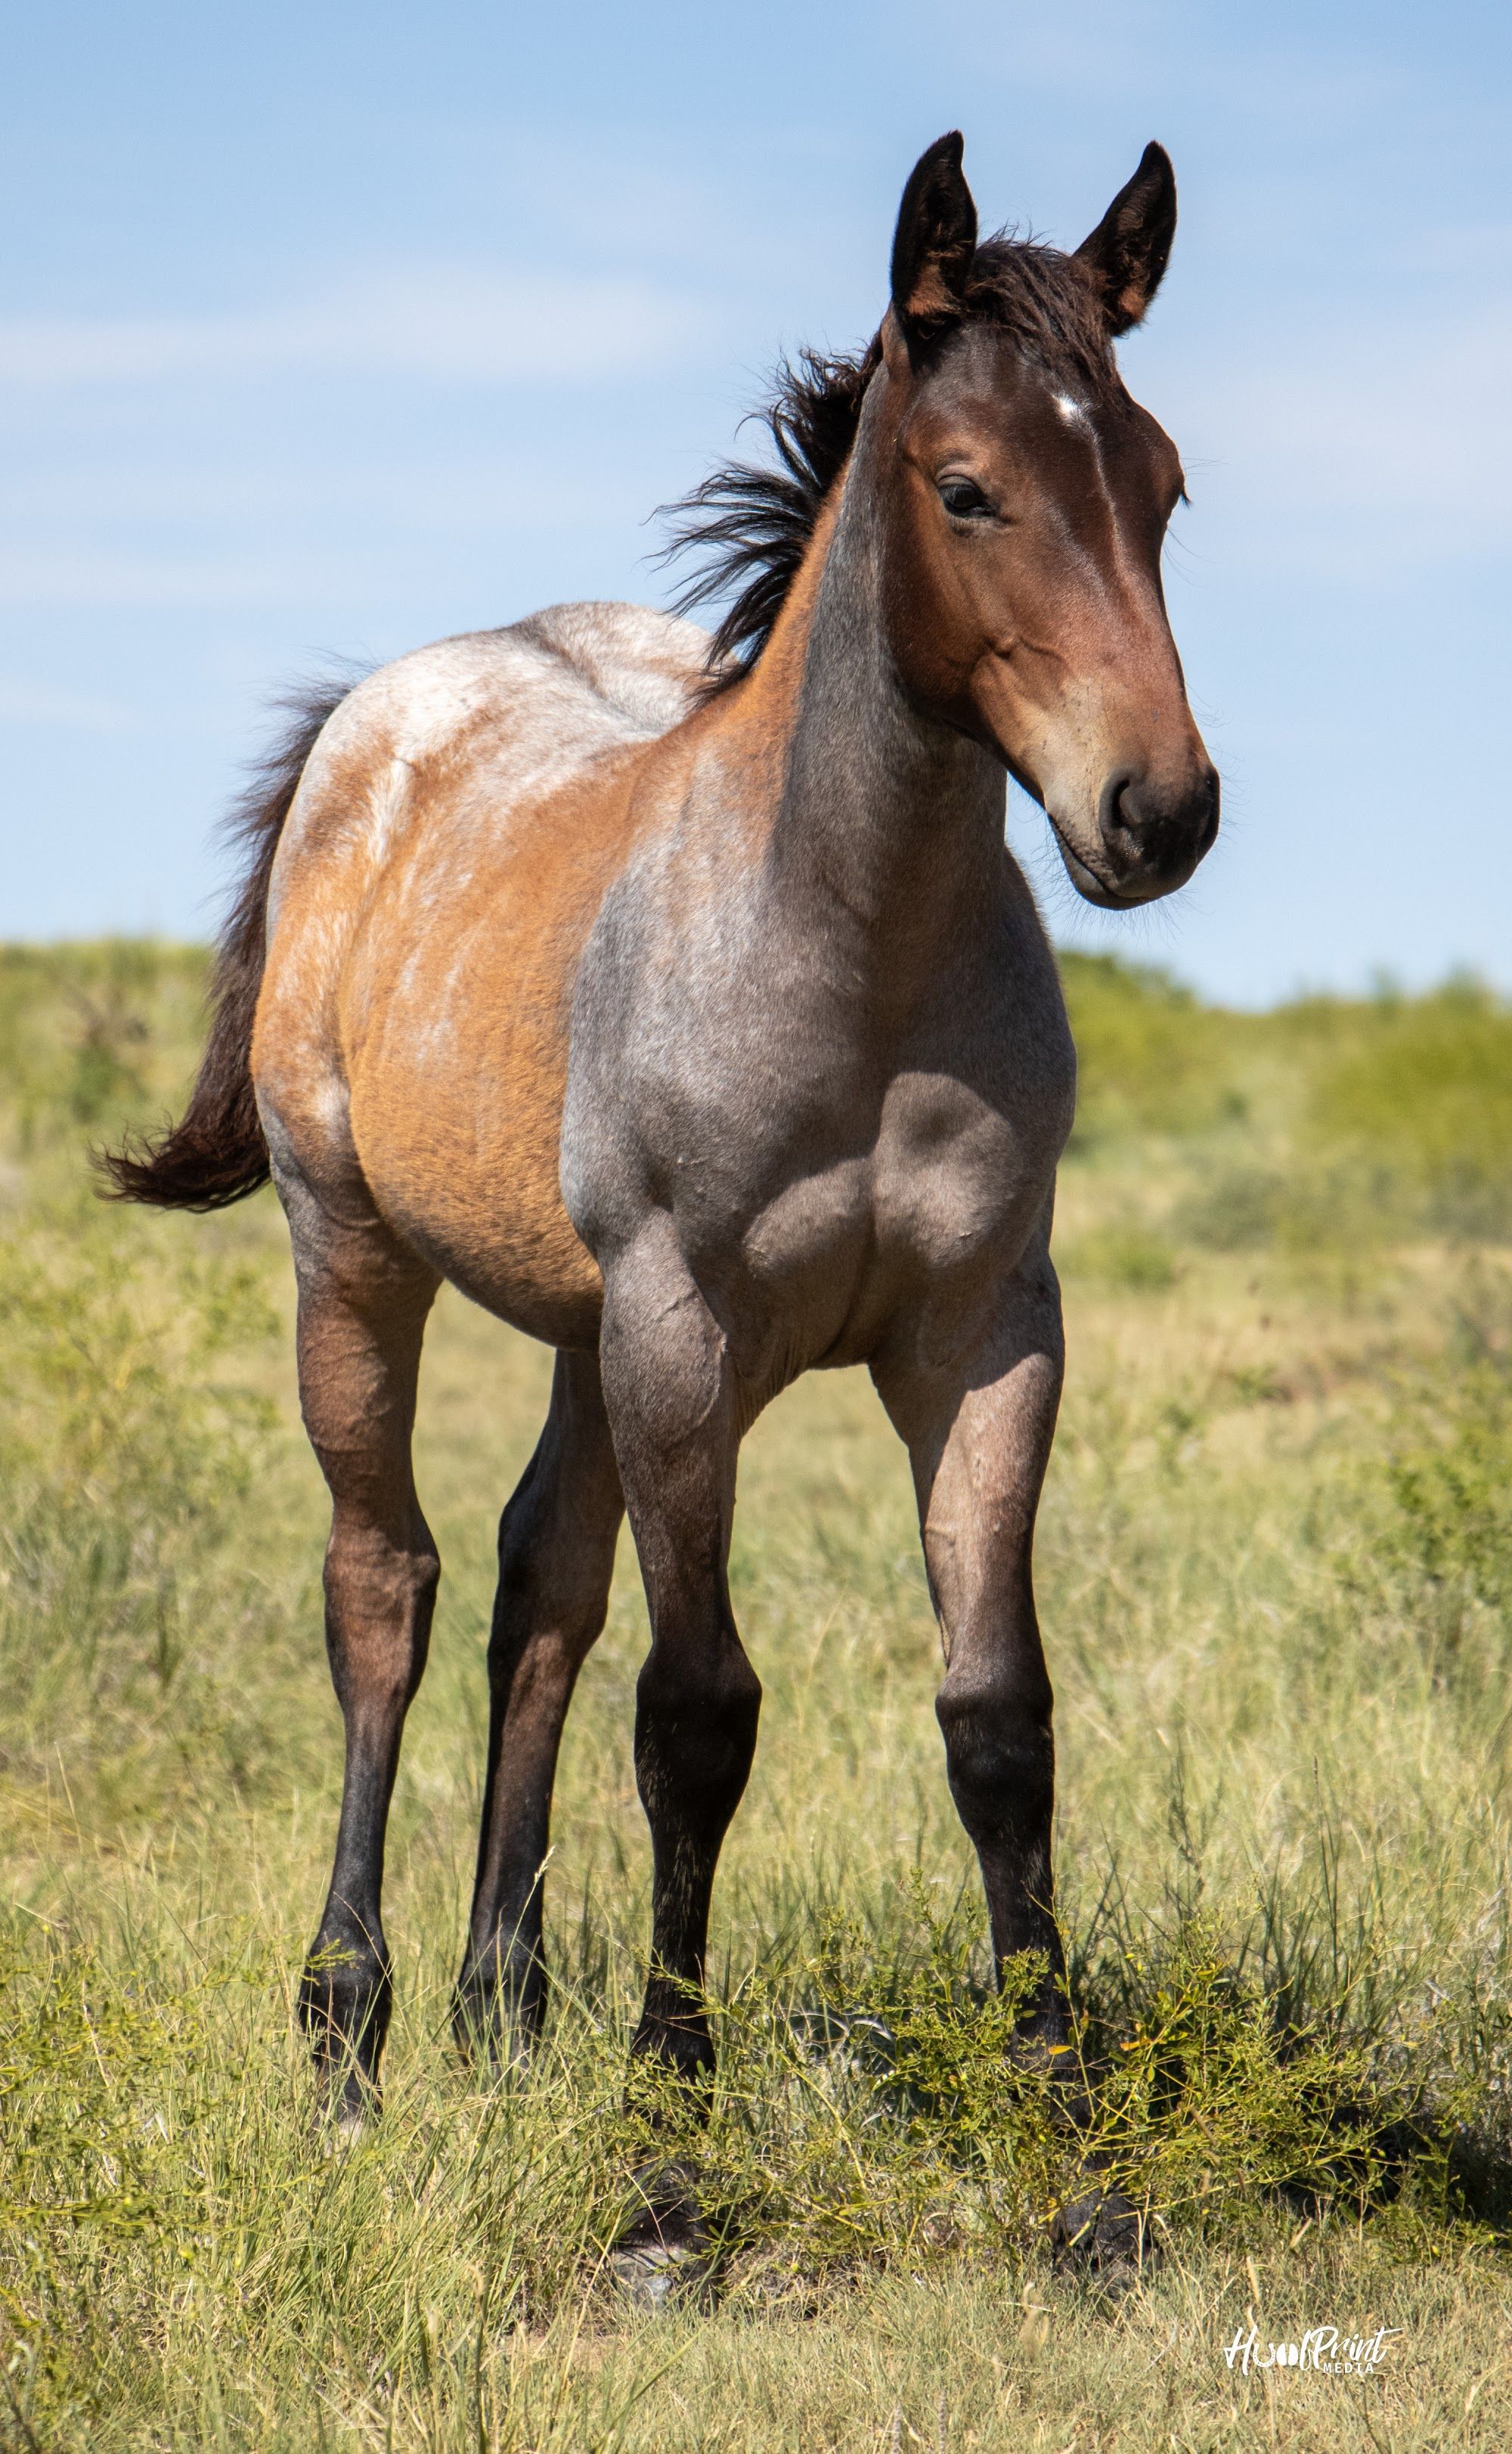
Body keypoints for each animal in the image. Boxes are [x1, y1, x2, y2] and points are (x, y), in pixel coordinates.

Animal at [109, 131, 1218, 2274]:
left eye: (1161, 481)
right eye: (967, 487)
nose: (1158, 810)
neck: (847, 958)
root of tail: (371, 717)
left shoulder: (984, 1334)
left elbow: (997, 1715)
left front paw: (1078, 2164)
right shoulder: (688, 1325)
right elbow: (698, 1711)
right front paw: (668, 2158)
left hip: (575, 1330)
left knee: (535, 1582)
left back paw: (500, 2010)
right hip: (356, 1261)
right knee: (384, 1588)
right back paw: (351, 2034)